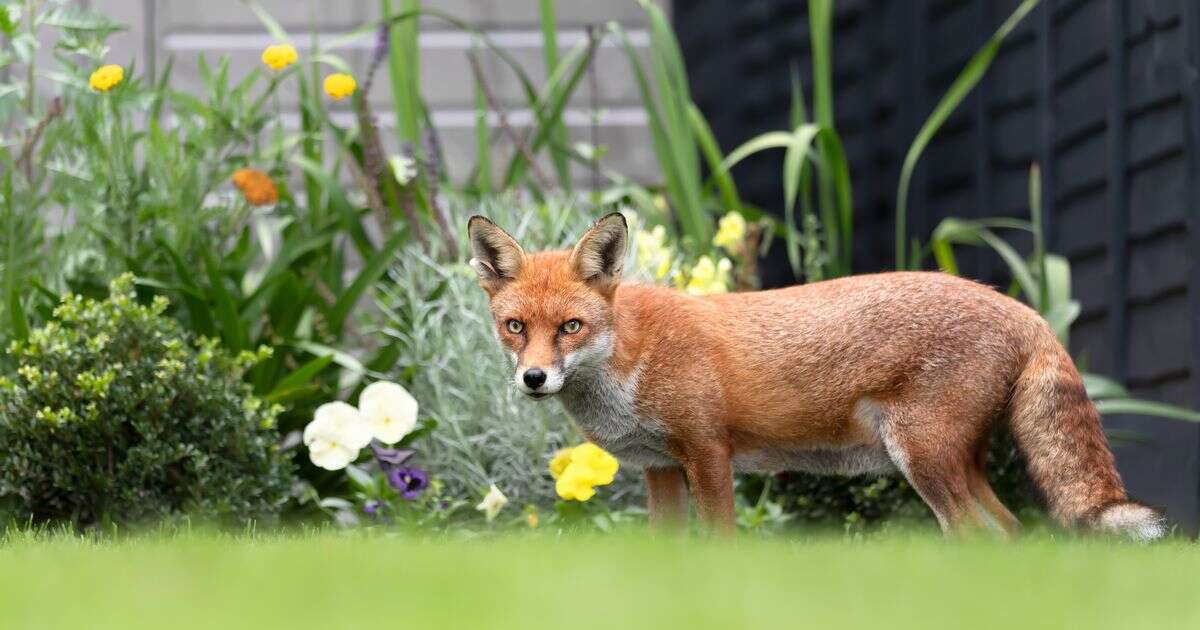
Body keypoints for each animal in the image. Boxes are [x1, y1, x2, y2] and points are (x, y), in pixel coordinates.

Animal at [465, 212, 1161, 540]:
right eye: (516, 327)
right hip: (954, 464)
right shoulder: (660, 469)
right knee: (1013, 532)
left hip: (923, 460)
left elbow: (719, 543)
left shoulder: (708, 454)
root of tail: (1022, 309)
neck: (631, 360)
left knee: (979, 536)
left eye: (571, 327)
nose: (534, 379)